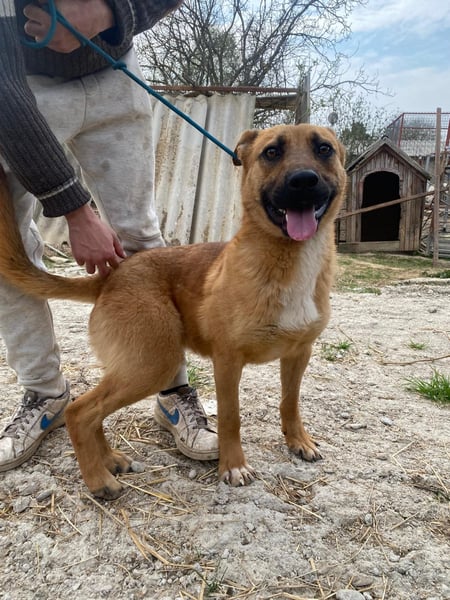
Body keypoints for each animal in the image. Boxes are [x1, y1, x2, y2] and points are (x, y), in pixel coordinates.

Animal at [0, 124, 346, 499]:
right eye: (271, 152)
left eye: (324, 149)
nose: (304, 180)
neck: (287, 259)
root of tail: (112, 276)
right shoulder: (228, 361)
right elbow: (231, 417)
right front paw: (234, 466)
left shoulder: (299, 353)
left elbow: (290, 402)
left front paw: (298, 441)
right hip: (153, 362)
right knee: (80, 411)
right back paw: (98, 479)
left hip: (140, 362)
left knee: (93, 414)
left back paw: (109, 459)